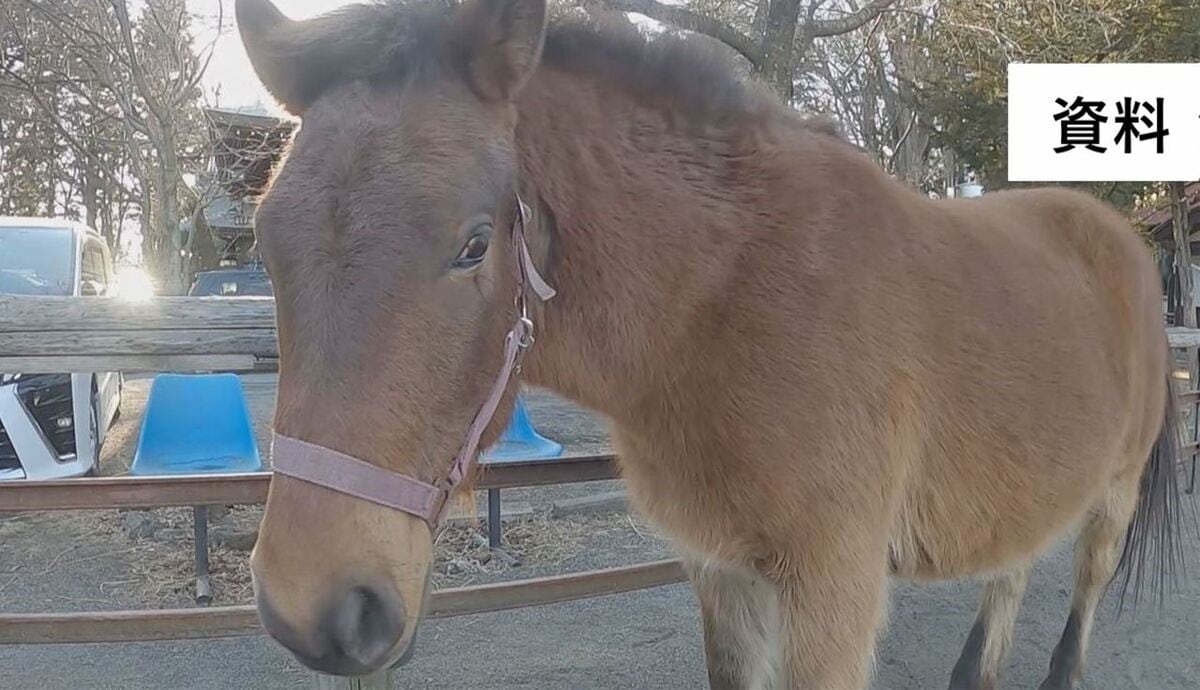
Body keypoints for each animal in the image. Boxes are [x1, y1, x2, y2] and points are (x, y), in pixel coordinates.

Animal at [233, 0, 1185, 687]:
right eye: (267, 244)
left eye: (473, 245)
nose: (314, 608)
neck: (725, 310)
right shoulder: (722, 574)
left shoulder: (833, 591)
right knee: (1011, 573)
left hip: (1114, 494)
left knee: (1082, 593)